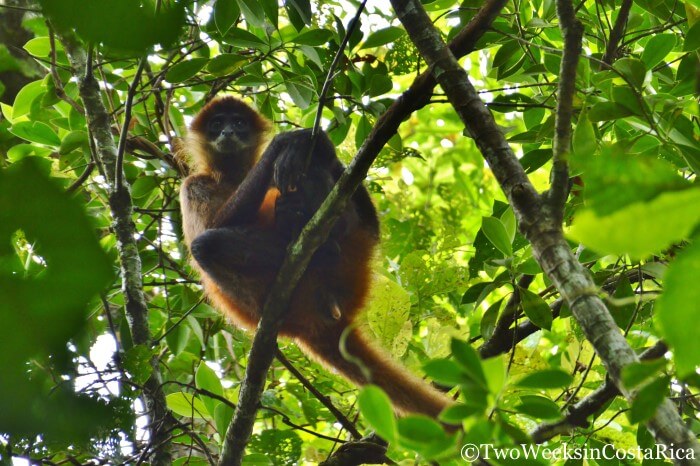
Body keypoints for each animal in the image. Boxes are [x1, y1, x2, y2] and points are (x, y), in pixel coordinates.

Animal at [180, 95, 454, 418]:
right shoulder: (192, 185)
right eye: (216, 124)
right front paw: (282, 143)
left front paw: (311, 141)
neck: (234, 174)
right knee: (206, 245)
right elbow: (208, 231)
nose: (228, 133)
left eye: (238, 123)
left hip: (356, 255)